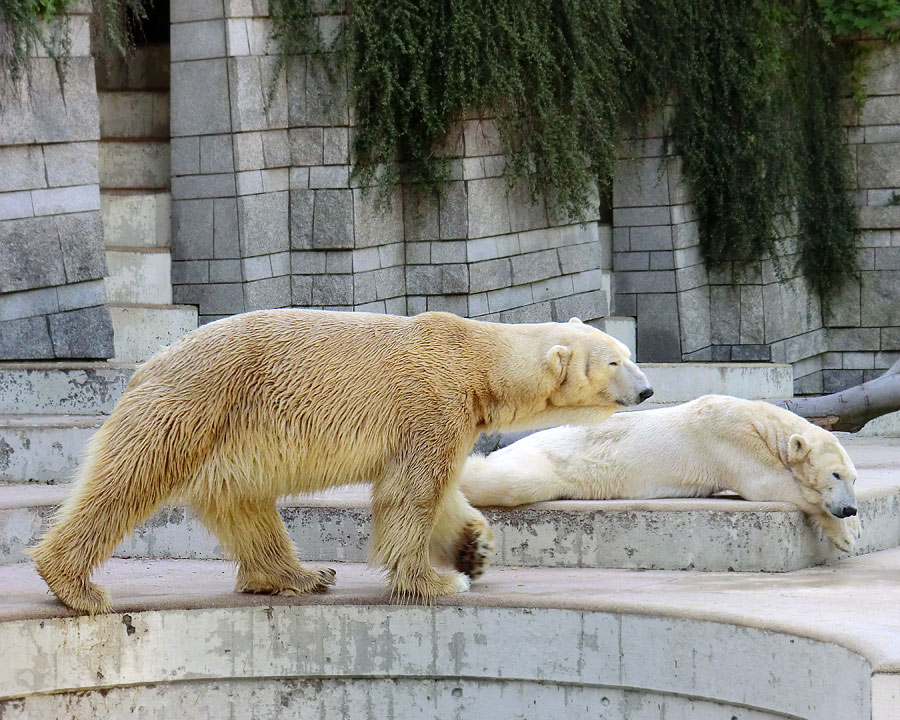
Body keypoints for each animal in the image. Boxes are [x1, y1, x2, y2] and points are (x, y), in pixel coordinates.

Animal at [31, 310, 652, 612]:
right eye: (615, 361)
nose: (647, 390)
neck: (474, 359)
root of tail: (144, 366)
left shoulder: (450, 418)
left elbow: (437, 489)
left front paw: (473, 551)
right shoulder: (432, 401)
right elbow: (411, 493)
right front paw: (437, 582)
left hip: (229, 439)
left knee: (244, 504)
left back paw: (302, 575)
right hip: (198, 402)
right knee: (129, 479)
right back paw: (76, 586)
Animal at [460, 394, 860, 552]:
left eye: (854, 478)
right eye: (835, 475)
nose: (849, 508)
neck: (758, 419)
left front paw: (854, 525)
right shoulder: (729, 436)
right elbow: (767, 482)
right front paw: (845, 535)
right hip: (548, 459)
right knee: (514, 479)